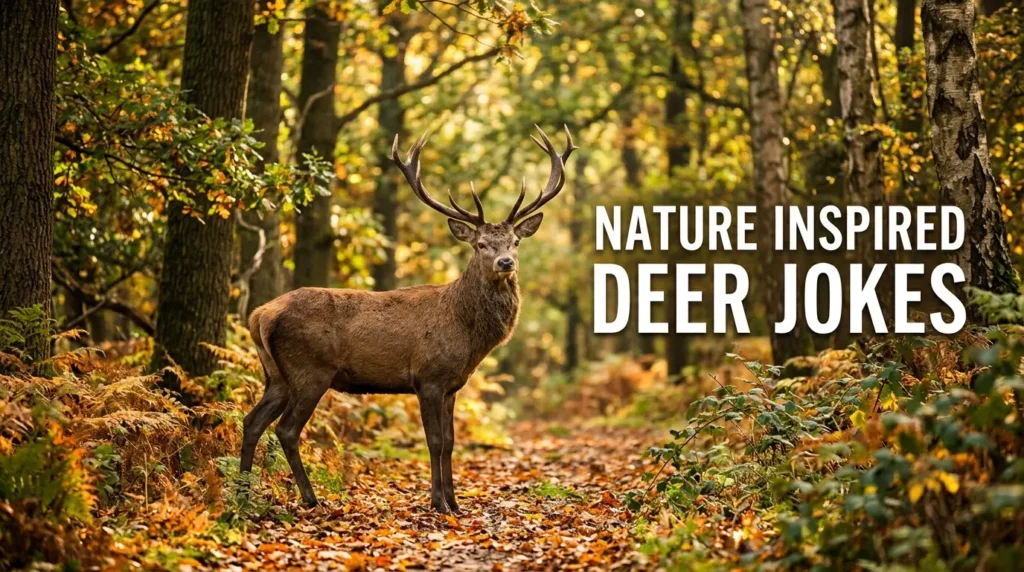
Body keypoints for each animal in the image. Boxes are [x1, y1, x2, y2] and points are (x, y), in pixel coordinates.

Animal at [240, 126, 576, 513]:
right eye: (480, 244)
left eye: (515, 242)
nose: (505, 262)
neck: (468, 334)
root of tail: (261, 314)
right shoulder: (427, 377)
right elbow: (434, 441)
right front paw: (438, 503)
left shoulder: (452, 384)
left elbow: (451, 441)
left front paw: (455, 503)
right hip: (309, 369)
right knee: (287, 429)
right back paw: (310, 499)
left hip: (276, 375)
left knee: (252, 421)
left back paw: (242, 493)